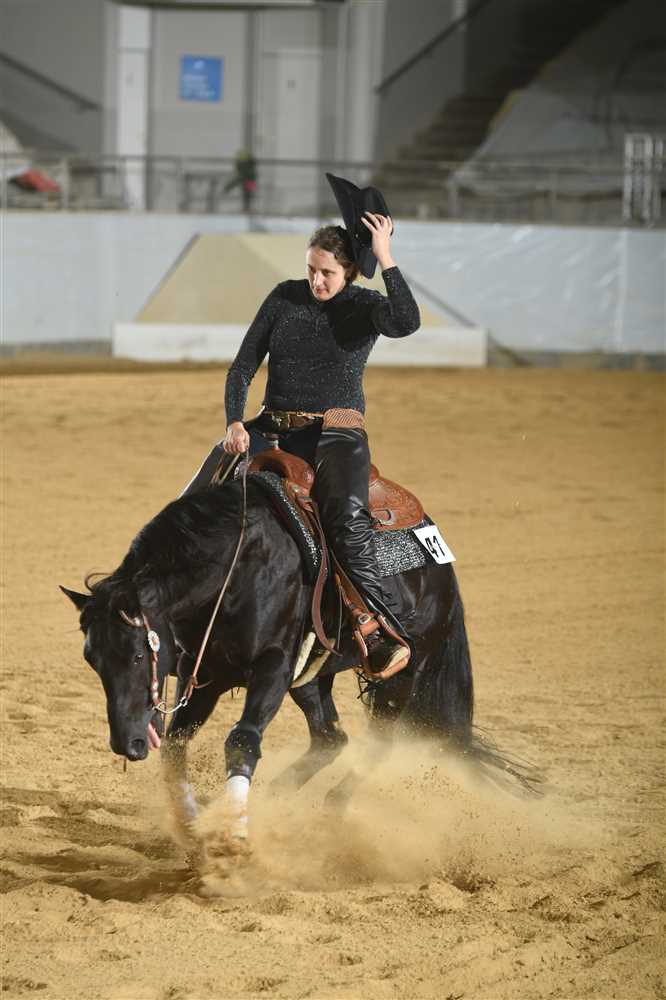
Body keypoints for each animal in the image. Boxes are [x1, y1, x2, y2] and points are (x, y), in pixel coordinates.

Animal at [62, 466, 537, 873]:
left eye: (138, 655)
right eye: (92, 660)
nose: (128, 742)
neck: (236, 568)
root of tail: (439, 564)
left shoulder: (272, 668)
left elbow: (242, 741)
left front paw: (234, 838)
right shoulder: (209, 677)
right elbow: (177, 745)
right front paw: (196, 828)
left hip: (403, 674)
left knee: (380, 742)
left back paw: (330, 808)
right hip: (311, 677)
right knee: (331, 736)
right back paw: (274, 802)